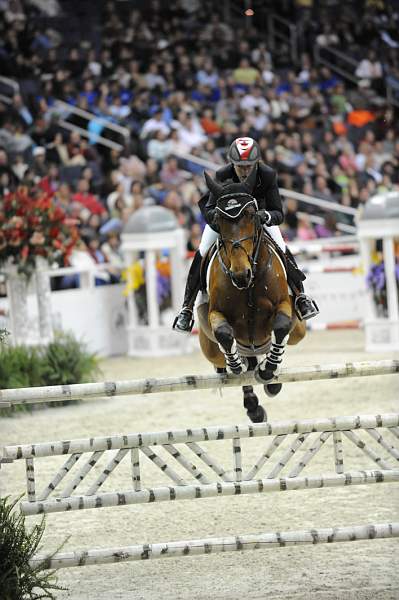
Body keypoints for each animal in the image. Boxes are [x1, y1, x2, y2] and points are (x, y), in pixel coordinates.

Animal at [197, 169, 306, 422]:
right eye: (219, 221)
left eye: (251, 215)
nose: (240, 275)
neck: (248, 285)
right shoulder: (216, 313)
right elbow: (225, 334)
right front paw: (235, 364)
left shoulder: (283, 305)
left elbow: (281, 327)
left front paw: (269, 371)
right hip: (210, 349)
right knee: (229, 362)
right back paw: (252, 405)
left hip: (299, 330)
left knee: (283, 340)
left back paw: (270, 375)